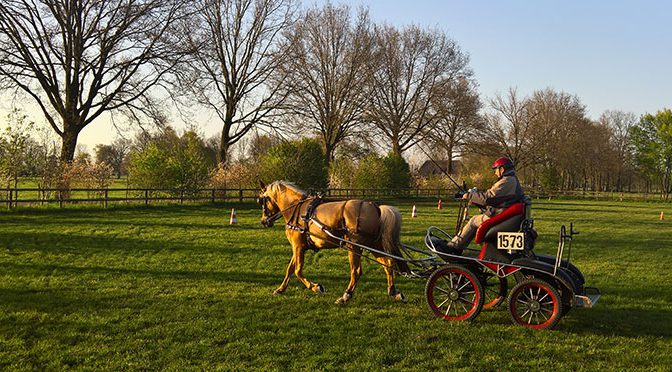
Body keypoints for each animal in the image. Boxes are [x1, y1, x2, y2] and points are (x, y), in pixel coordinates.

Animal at [258, 180, 410, 306]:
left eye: (262, 200)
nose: (264, 221)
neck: (296, 210)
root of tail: (376, 208)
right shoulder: (298, 247)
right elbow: (290, 269)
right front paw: (280, 289)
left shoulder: (298, 247)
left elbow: (297, 271)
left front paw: (316, 287)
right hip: (373, 245)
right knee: (388, 265)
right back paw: (393, 292)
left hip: (354, 246)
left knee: (356, 271)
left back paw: (346, 296)